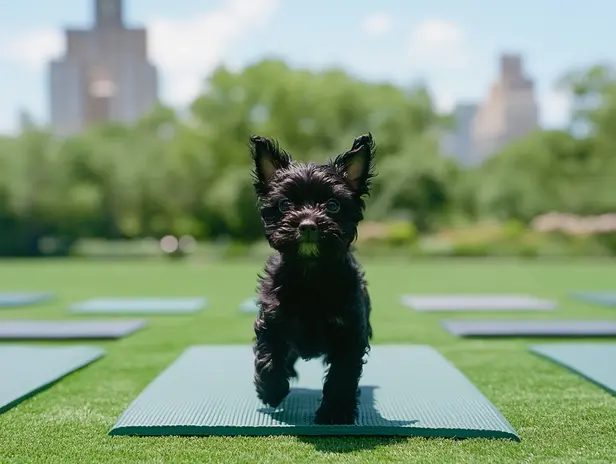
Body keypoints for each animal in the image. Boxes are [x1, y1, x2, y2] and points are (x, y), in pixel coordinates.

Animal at [249, 131, 376, 424]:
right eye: (284, 204)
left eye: (332, 205)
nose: (307, 225)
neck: (310, 276)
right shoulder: (272, 320)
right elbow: (269, 358)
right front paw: (272, 390)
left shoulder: (349, 332)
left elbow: (342, 375)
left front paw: (335, 412)